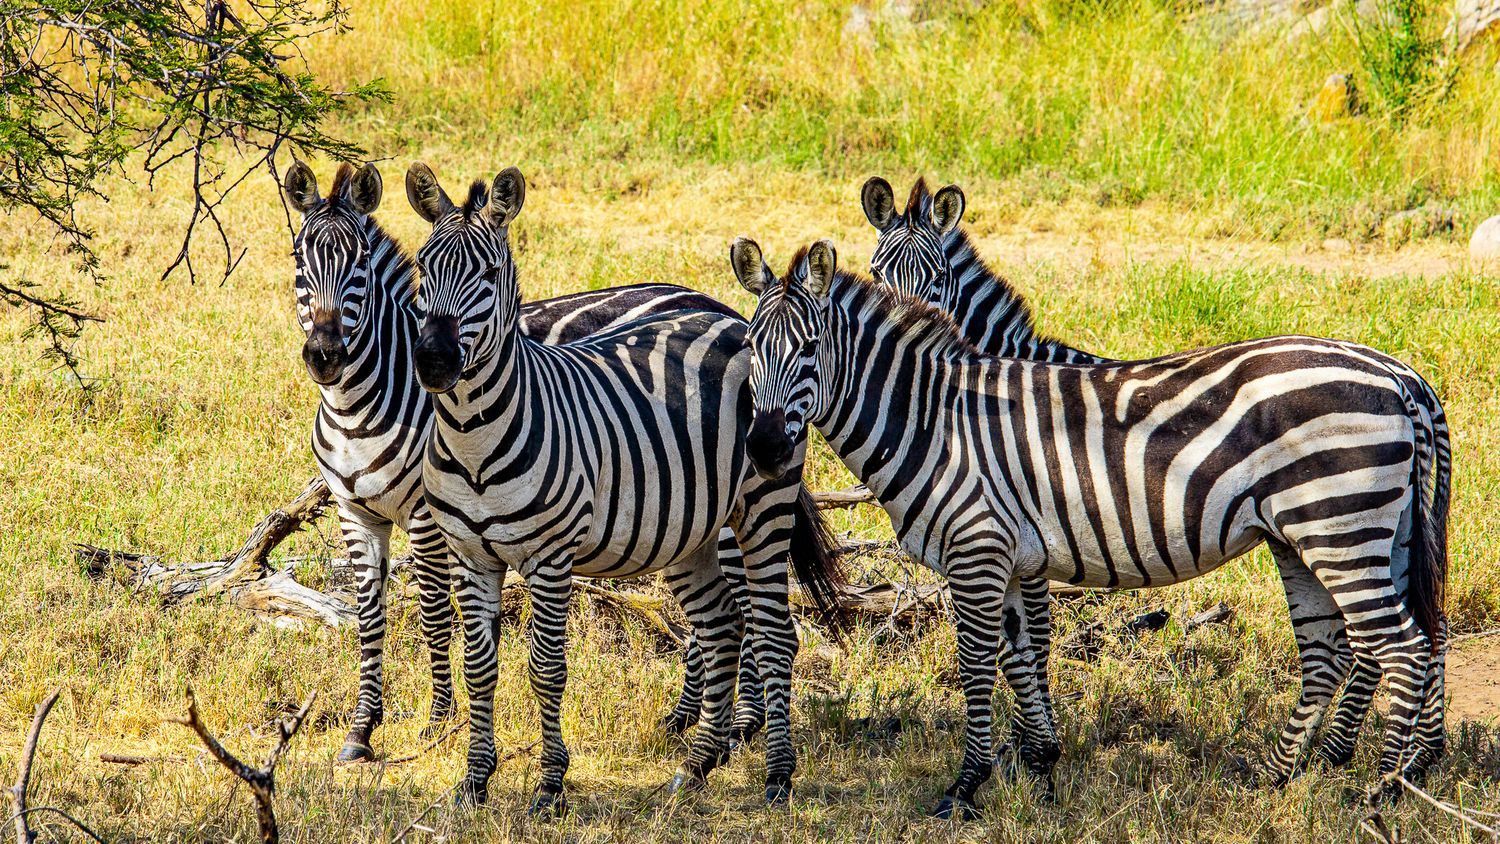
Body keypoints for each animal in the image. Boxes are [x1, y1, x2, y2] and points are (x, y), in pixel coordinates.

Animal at [281, 161, 768, 764]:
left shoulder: (426, 516)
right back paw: (682, 720)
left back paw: (740, 725)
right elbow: (370, 619)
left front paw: (438, 721)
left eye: (361, 266)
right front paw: (361, 729)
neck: (357, 407)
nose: (325, 355)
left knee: (745, 608)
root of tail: (715, 303)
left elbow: (435, 611)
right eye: (299, 260)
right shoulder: (357, 513)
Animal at [404, 163, 844, 812]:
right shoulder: (471, 554)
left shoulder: (550, 557)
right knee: (721, 626)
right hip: (690, 528)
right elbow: (479, 665)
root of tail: (731, 317)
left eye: (485, 274)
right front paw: (475, 782)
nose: (432, 361)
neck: (472, 438)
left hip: (764, 505)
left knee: (772, 634)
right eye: (422, 267)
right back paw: (698, 763)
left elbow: (546, 668)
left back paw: (777, 775)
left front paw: (550, 787)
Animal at [732, 237, 1449, 820]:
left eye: (809, 350)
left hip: (1340, 525)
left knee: (1402, 649)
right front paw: (1042, 769)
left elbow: (975, 664)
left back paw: (1381, 791)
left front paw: (965, 787)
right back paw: (1277, 778)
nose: (764, 449)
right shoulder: (1009, 556)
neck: (932, 418)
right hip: (1321, 535)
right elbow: (1020, 658)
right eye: (749, 350)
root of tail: (1396, 377)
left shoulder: (977, 548)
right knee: (1334, 652)